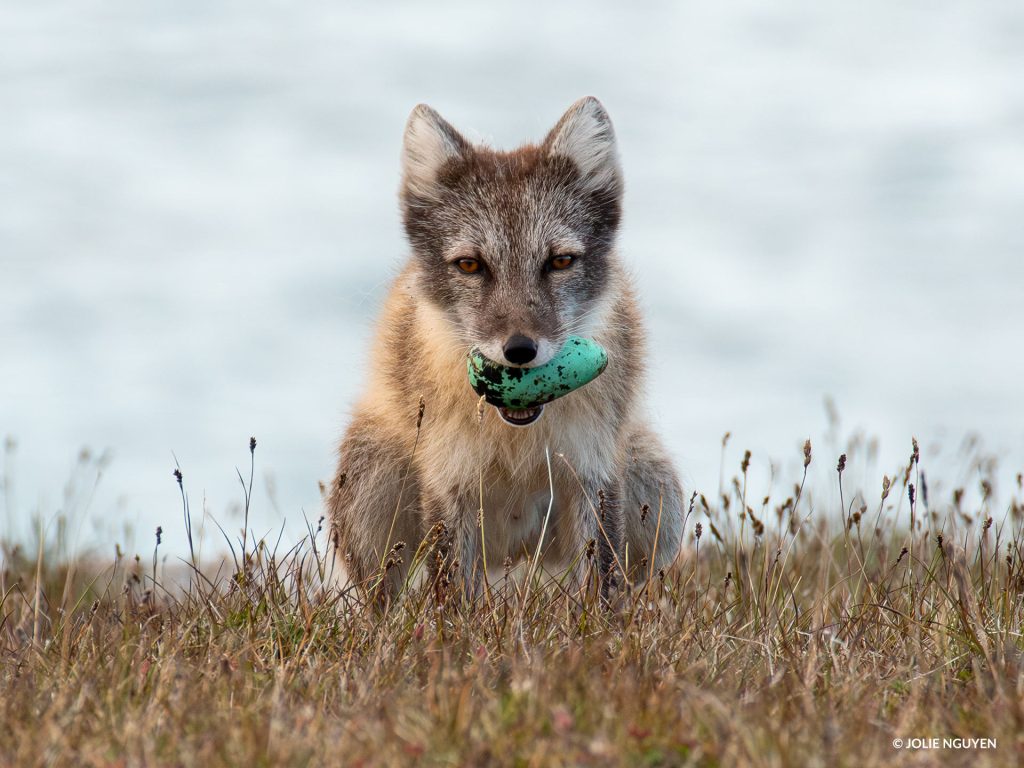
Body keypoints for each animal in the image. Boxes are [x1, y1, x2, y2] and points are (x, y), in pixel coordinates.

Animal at [327, 97, 684, 600]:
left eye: (560, 261)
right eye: (470, 265)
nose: (519, 350)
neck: (516, 444)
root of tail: (508, 556)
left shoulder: (592, 471)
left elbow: (597, 591)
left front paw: (593, 626)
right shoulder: (449, 480)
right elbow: (453, 599)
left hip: (656, 493)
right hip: (371, 485)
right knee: (384, 599)